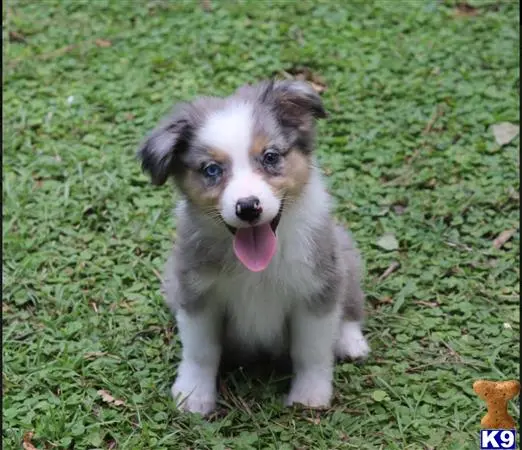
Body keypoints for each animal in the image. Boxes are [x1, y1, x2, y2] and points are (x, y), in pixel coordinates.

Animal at [136, 80, 368, 414]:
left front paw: (310, 395)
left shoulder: (315, 288)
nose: (248, 208)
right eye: (211, 170)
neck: (258, 267)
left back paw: (350, 342)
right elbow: (200, 352)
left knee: (350, 304)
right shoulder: (195, 292)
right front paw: (194, 394)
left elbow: (310, 351)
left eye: (270, 157)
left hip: (341, 253)